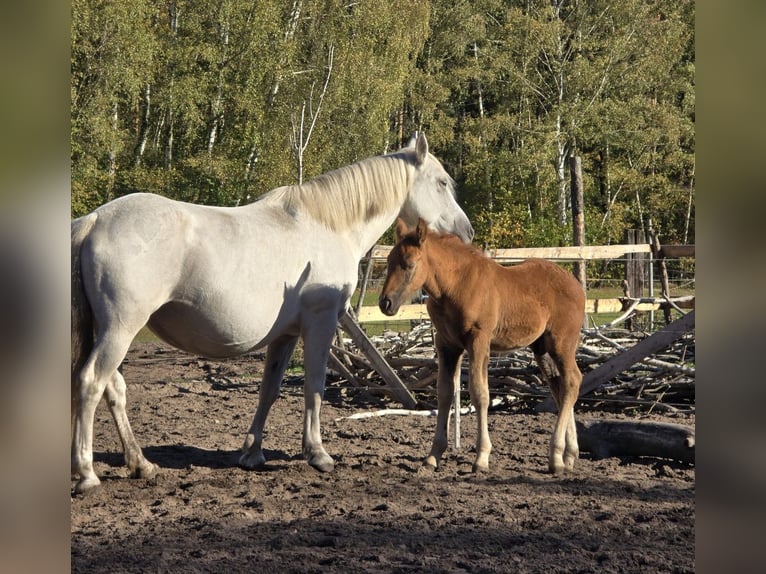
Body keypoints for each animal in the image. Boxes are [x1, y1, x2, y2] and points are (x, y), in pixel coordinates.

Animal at [71, 134, 474, 493]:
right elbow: (314, 385)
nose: (467, 232)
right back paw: (87, 473)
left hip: (111, 331)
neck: (328, 225)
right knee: (91, 382)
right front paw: (317, 453)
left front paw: (252, 453)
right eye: (441, 182)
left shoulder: (286, 334)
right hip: (120, 330)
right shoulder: (320, 323)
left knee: (113, 389)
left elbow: (270, 388)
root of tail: (95, 220)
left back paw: (140, 463)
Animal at [378, 218, 584, 475]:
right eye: (389, 261)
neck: (454, 286)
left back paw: (556, 456)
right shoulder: (447, 345)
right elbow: (445, 393)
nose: (385, 303)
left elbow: (480, 394)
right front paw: (433, 456)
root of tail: (578, 287)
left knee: (573, 381)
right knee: (560, 387)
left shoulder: (479, 340)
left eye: (409, 264)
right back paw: (568, 456)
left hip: (561, 344)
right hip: (542, 349)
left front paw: (481, 458)